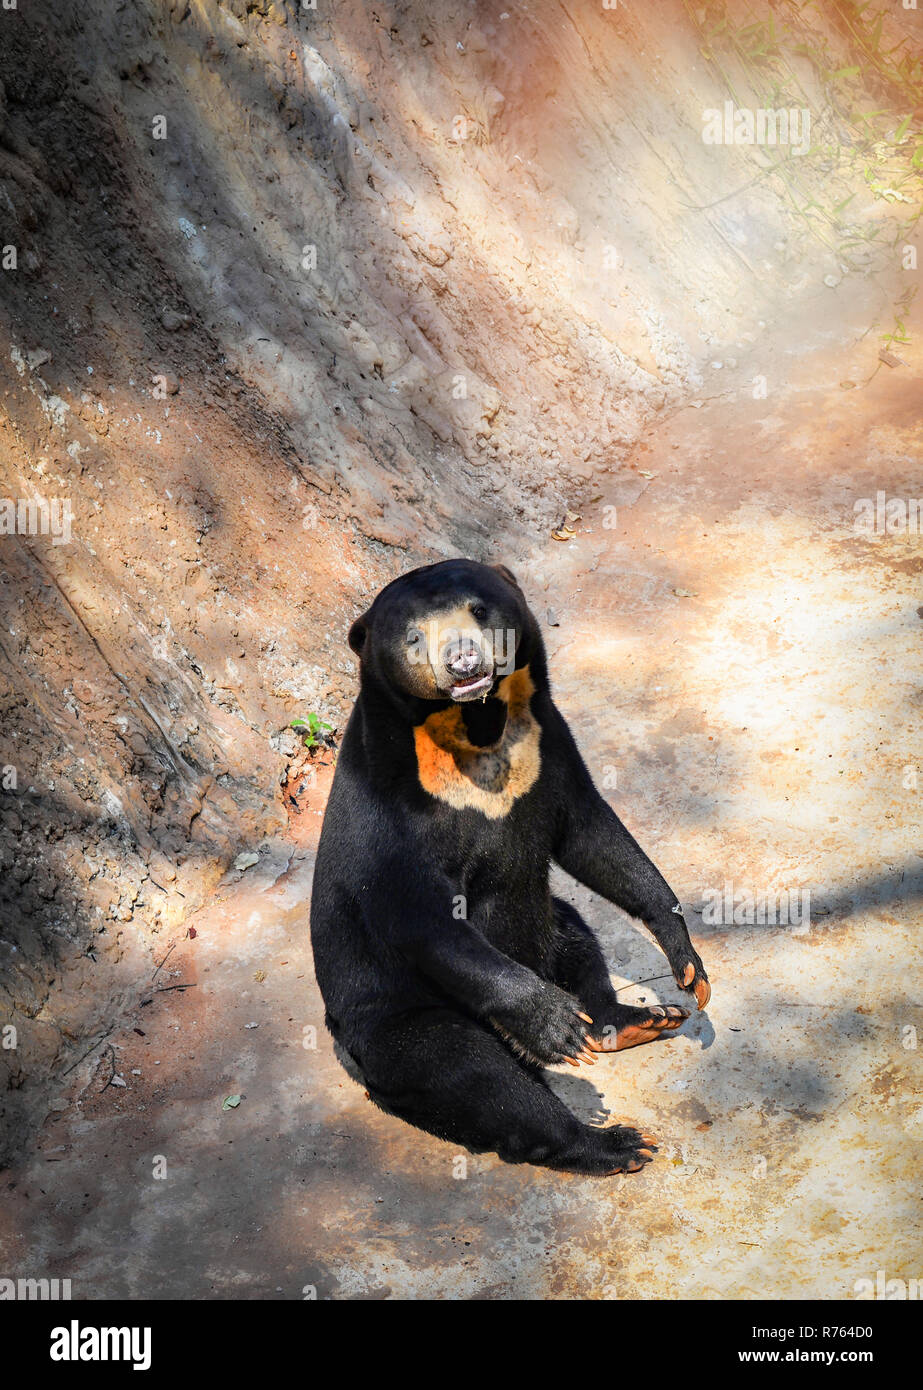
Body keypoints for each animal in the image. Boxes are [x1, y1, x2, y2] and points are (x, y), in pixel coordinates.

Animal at [309, 559, 710, 1176]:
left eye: (478, 610)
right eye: (414, 637)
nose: (463, 663)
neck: (476, 726)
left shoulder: (549, 741)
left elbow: (591, 833)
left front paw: (687, 964)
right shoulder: (391, 813)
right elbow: (423, 918)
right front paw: (551, 1023)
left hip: (546, 920)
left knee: (576, 938)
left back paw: (638, 1021)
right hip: (396, 1021)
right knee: (477, 1076)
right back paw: (613, 1141)